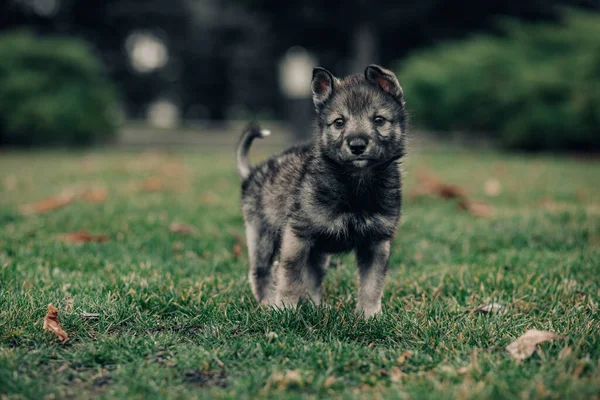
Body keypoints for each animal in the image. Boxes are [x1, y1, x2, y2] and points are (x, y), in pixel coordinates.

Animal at [234, 65, 408, 316]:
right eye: (339, 122)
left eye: (379, 120)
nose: (357, 146)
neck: (355, 185)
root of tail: (252, 171)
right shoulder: (297, 235)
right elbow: (290, 277)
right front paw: (285, 310)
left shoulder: (376, 242)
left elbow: (372, 284)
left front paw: (370, 316)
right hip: (262, 237)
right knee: (263, 272)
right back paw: (267, 304)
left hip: (317, 252)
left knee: (313, 278)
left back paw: (315, 307)